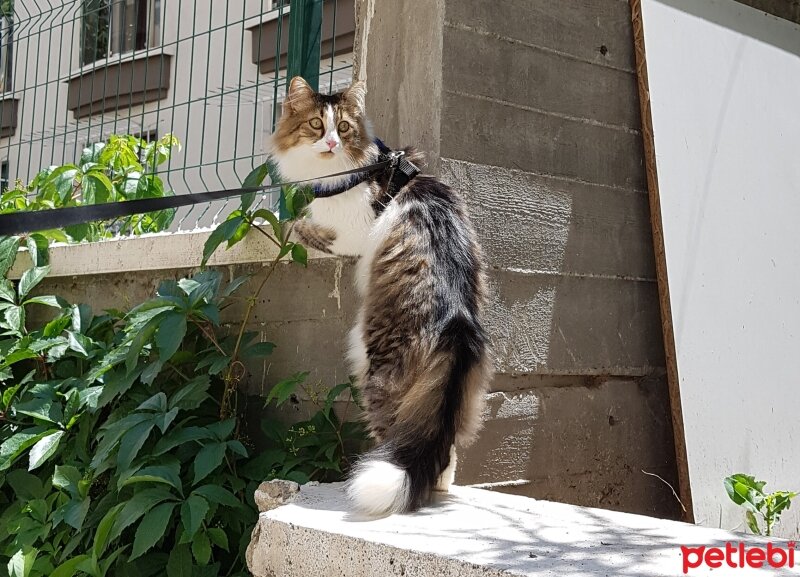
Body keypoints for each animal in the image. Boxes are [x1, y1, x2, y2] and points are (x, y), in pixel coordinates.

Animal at [270, 75, 488, 512]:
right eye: (317, 125)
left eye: (343, 128)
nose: (332, 143)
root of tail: (456, 319)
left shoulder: (350, 232)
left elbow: (297, 225)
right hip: (454, 397)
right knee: (444, 451)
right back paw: (438, 489)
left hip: (373, 367)